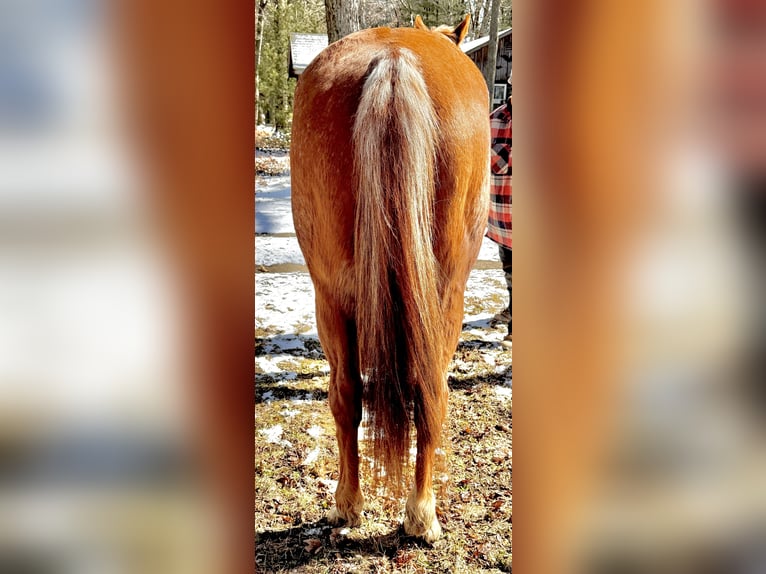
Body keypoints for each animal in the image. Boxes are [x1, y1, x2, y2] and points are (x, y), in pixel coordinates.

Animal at [290, 15, 490, 542]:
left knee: (345, 394)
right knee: (431, 392)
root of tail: (394, 58)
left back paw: (348, 505)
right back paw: (420, 513)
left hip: (330, 298)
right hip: (445, 299)